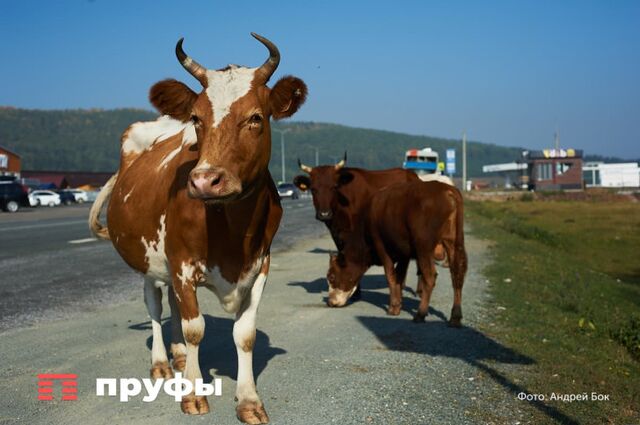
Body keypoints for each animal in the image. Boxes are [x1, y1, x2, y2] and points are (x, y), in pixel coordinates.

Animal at [88, 33, 308, 420]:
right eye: (196, 118)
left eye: (255, 118)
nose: (205, 180)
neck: (232, 230)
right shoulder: (182, 264)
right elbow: (195, 329)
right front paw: (192, 392)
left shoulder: (261, 264)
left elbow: (244, 334)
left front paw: (248, 400)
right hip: (149, 260)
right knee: (155, 305)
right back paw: (162, 362)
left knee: (174, 305)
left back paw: (177, 357)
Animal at [324, 180, 464, 324]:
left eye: (331, 276)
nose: (330, 302)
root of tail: (446, 189)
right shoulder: (404, 254)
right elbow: (399, 276)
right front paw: (398, 304)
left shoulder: (381, 247)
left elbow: (390, 276)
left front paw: (393, 307)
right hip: (454, 242)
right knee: (457, 274)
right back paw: (455, 317)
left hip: (423, 247)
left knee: (430, 276)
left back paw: (420, 313)